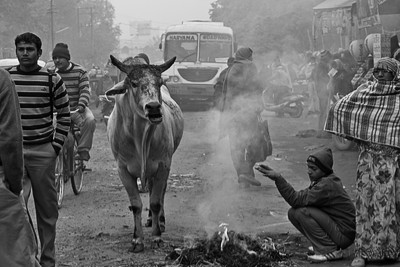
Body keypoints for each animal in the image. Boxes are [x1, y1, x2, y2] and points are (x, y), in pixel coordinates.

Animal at [104, 55, 183, 252]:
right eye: (133, 83)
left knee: (159, 193)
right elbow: (136, 205)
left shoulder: (163, 165)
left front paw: (156, 236)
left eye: (159, 82)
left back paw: (159, 222)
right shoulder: (123, 170)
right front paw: (137, 239)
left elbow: (155, 202)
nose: (154, 107)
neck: (140, 136)